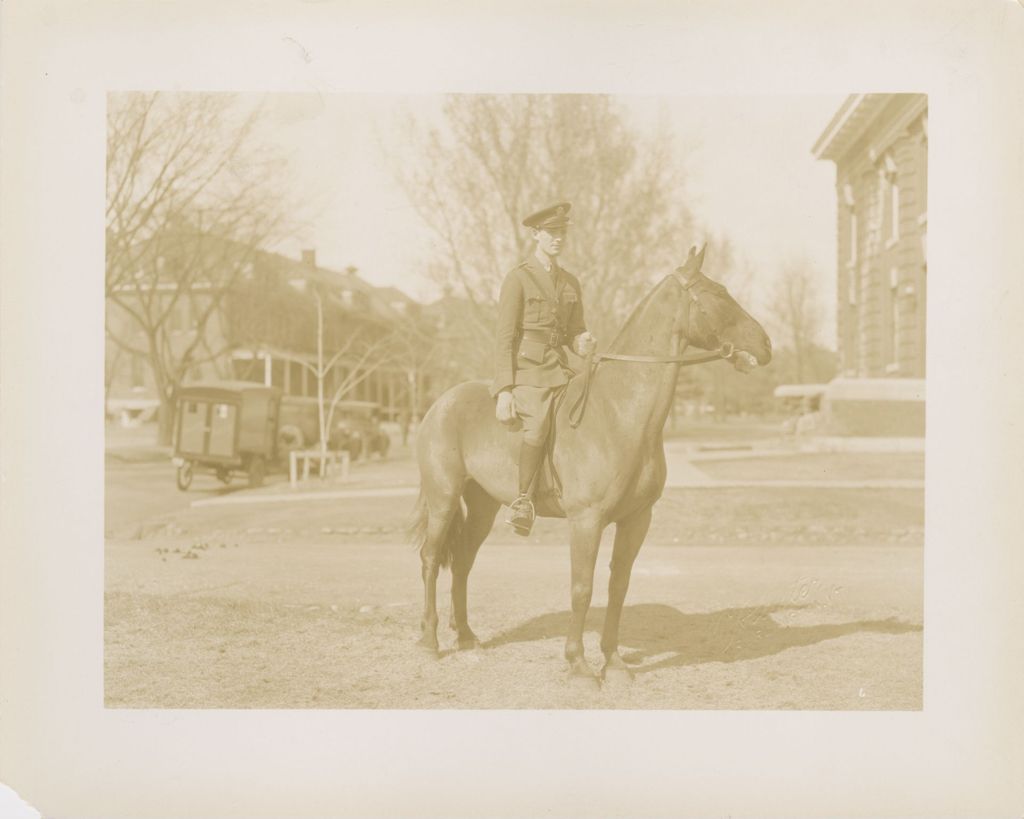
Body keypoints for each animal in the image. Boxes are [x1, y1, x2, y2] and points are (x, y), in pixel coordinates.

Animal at [411, 244, 770, 683]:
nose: (766, 344)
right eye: (717, 293)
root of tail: (441, 403)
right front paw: (579, 665)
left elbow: (618, 586)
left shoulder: (637, 520)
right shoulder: (586, 521)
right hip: (443, 499)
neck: (617, 412)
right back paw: (429, 641)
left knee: (462, 563)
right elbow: (582, 588)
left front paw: (613, 661)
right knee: (431, 559)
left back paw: (465, 636)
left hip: (483, 506)